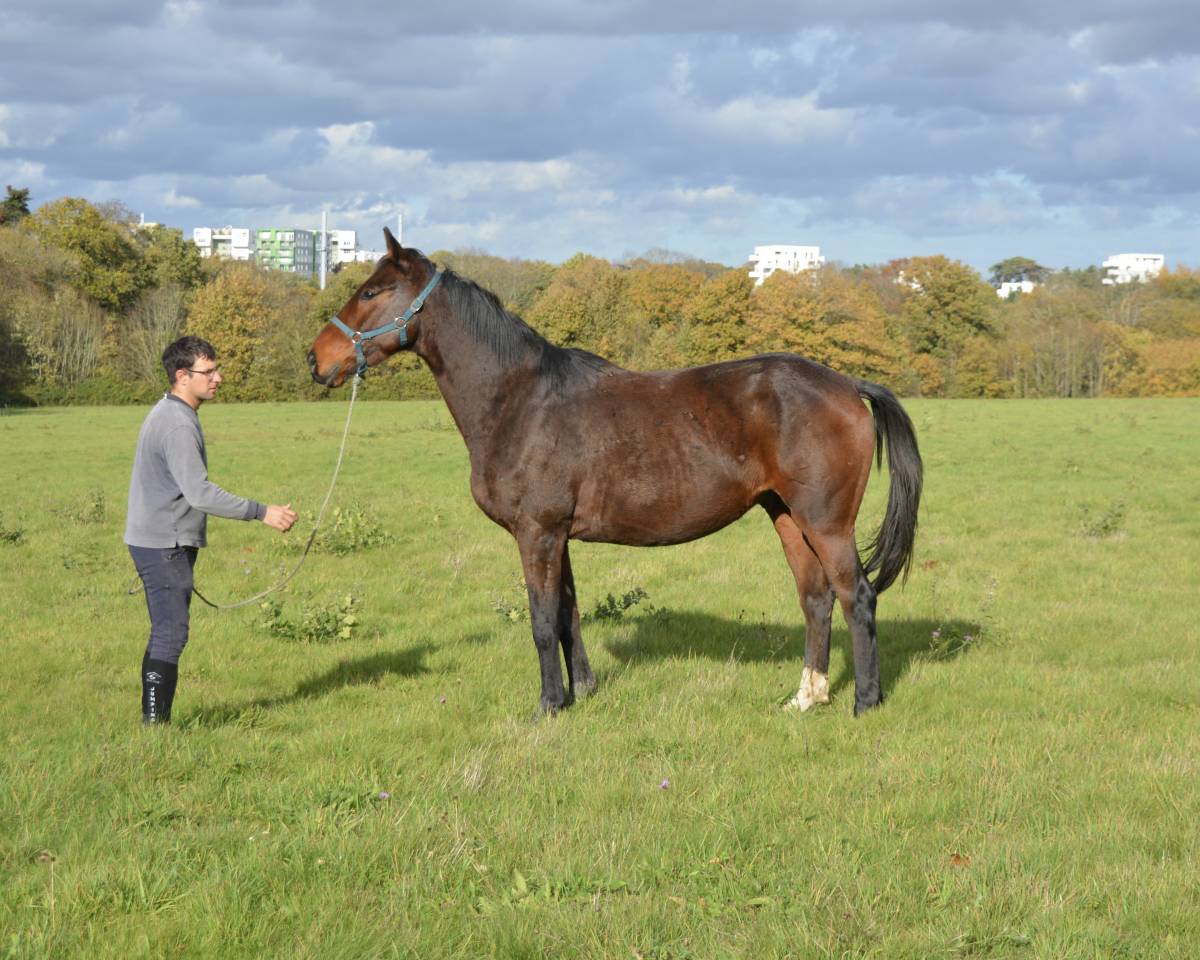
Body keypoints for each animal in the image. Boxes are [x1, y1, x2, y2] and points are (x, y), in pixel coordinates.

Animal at [308, 228, 922, 717]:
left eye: (370, 292)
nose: (317, 359)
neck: (520, 400)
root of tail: (846, 385)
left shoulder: (537, 534)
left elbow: (540, 622)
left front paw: (548, 706)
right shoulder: (557, 536)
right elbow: (567, 616)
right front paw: (581, 690)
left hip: (827, 523)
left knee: (857, 597)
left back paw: (865, 702)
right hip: (787, 516)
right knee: (816, 599)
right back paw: (806, 698)